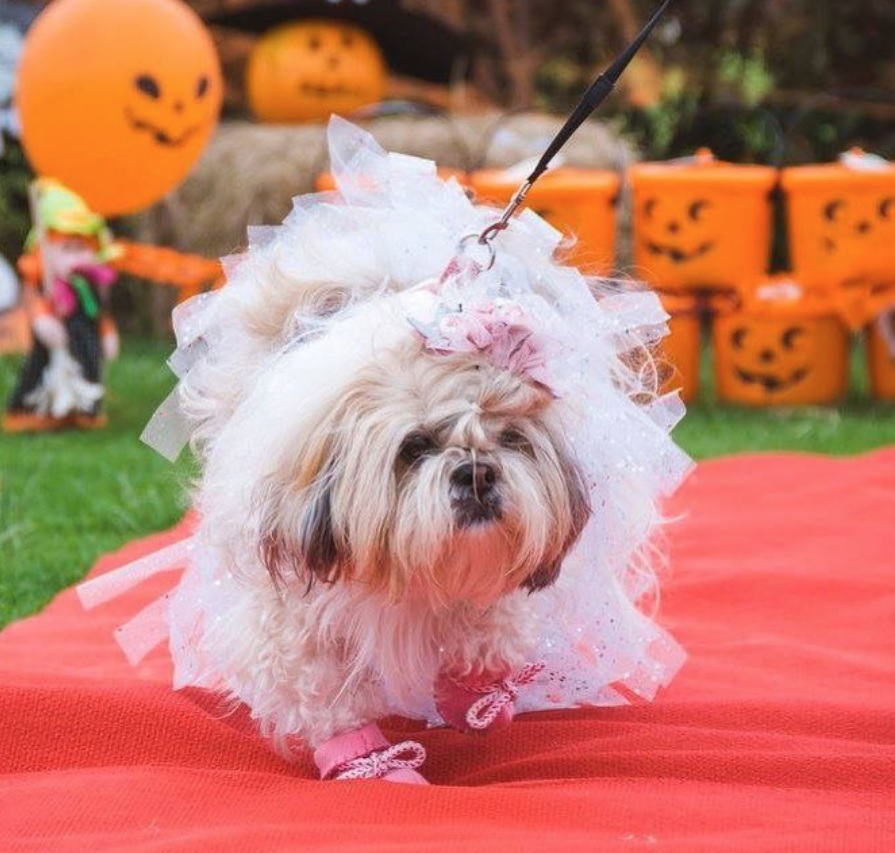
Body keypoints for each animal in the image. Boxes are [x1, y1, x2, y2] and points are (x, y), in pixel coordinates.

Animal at [80, 116, 692, 784]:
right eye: (415, 447)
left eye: (511, 441)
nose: (477, 473)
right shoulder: (291, 623)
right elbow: (322, 697)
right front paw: (373, 764)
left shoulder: (501, 591)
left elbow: (488, 629)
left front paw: (474, 695)